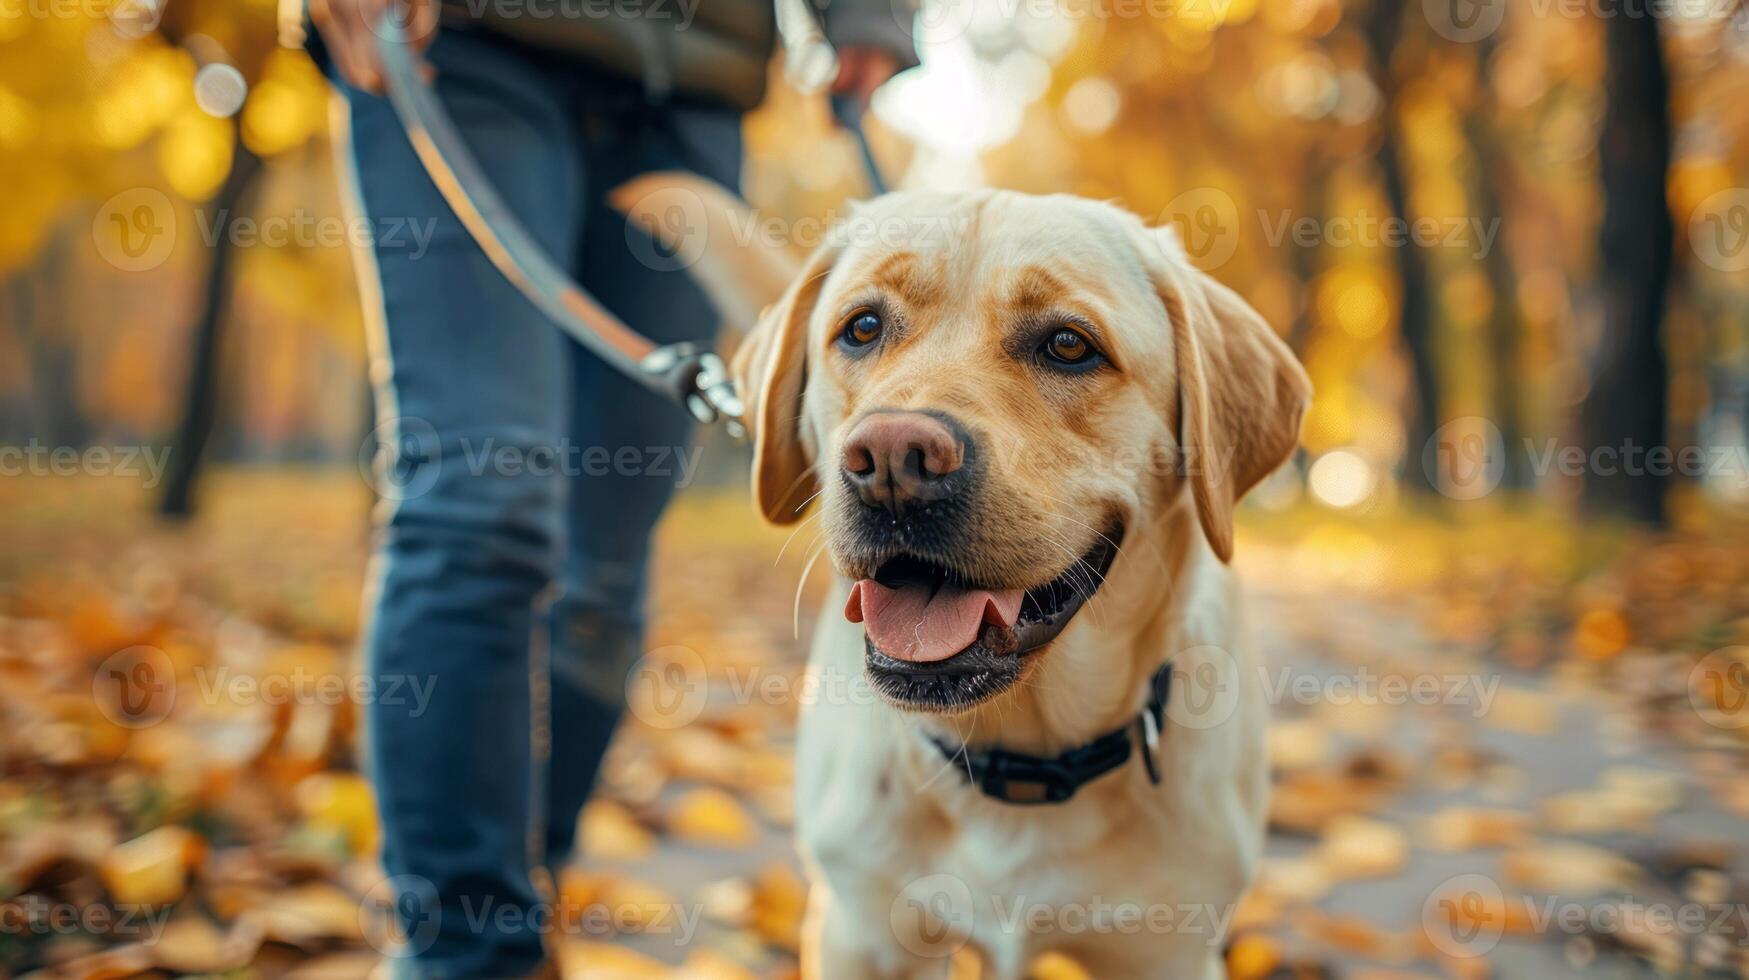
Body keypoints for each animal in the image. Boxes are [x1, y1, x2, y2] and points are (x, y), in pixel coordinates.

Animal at [629, 180, 1315, 973]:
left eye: (1069, 344)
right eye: (862, 327)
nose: (892, 460)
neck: (1016, 765)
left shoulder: (1166, 951)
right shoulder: (860, 932)